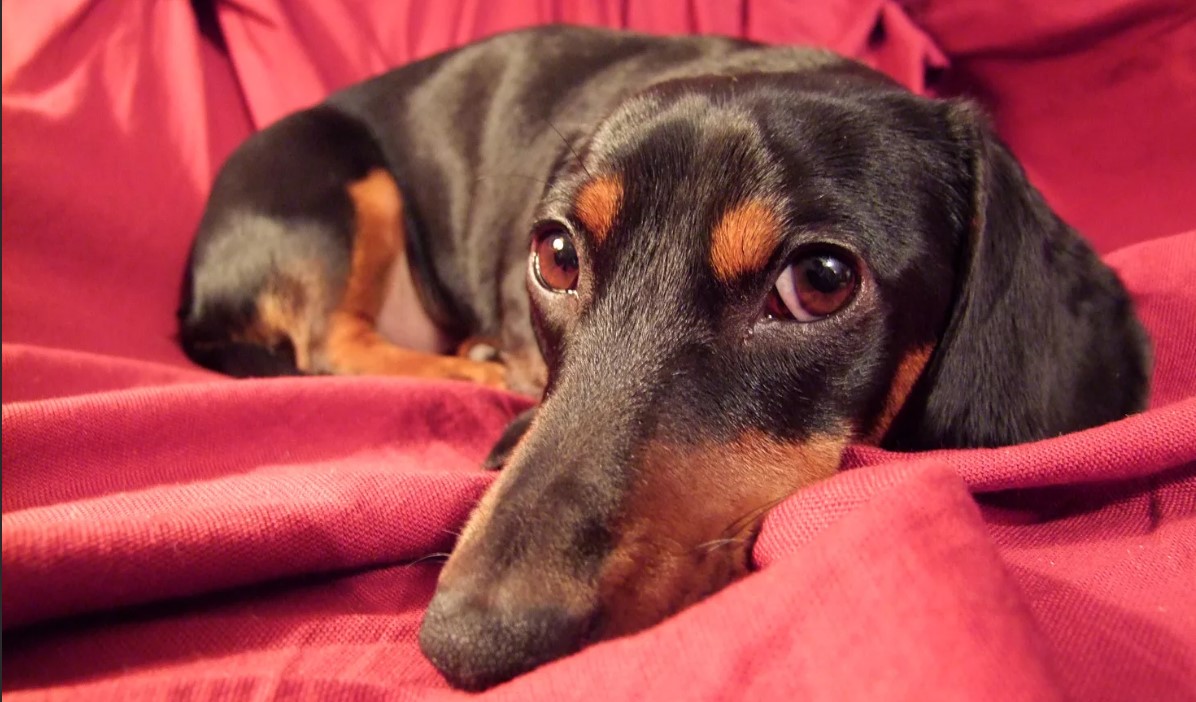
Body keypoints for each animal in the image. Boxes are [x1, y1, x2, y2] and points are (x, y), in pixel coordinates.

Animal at [178, 25, 1151, 690]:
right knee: (327, 342)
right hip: (333, 181)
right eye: (555, 254)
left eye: (822, 282)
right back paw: (471, 368)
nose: (470, 642)